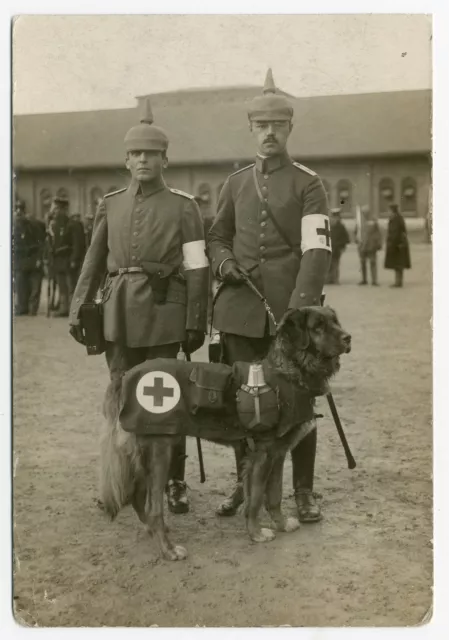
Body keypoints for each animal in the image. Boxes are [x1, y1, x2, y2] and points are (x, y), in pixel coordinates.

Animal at [98, 306, 350, 560]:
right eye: (318, 326)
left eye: (335, 322)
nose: (348, 338)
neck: (289, 370)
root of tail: (126, 377)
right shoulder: (263, 454)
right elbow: (256, 499)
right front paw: (256, 533)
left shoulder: (277, 453)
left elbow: (274, 495)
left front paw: (280, 524)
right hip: (160, 451)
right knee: (152, 507)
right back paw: (168, 549)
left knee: (139, 497)